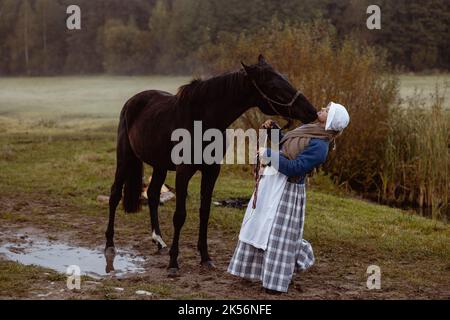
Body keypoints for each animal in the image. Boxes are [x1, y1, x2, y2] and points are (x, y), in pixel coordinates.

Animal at [104, 53, 318, 276]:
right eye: (274, 86)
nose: (311, 111)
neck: (202, 120)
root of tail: (132, 101)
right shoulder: (183, 172)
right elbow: (179, 216)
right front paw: (173, 263)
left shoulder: (212, 171)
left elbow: (204, 212)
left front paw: (205, 258)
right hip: (125, 158)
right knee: (115, 195)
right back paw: (110, 244)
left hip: (159, 165)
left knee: (153, 194)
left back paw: (159, 241)